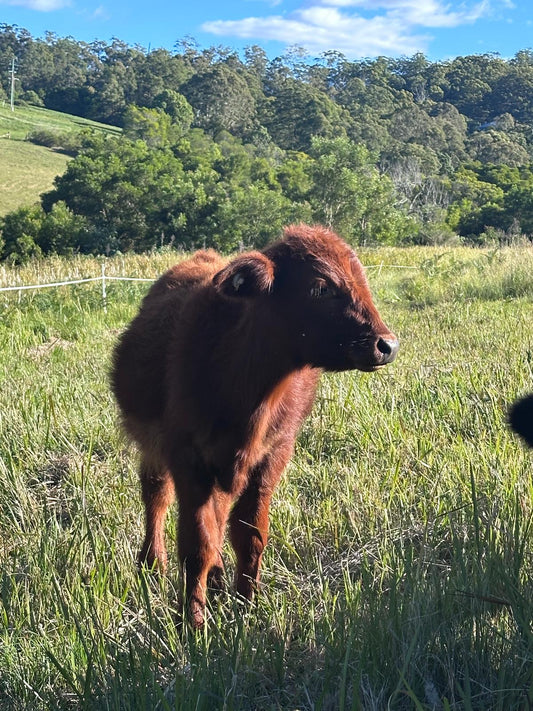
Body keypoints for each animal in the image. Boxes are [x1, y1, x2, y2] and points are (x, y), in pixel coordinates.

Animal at [111, 224, 399, 627]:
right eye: (321, 287)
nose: (387, 345)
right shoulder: (186, 456)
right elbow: (197, 542)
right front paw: (192, 621)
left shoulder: (273, 454)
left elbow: (249, 534)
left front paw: (247, 607)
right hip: (153, 447)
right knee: (156, 495)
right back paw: (153, 563)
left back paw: (217, 580)